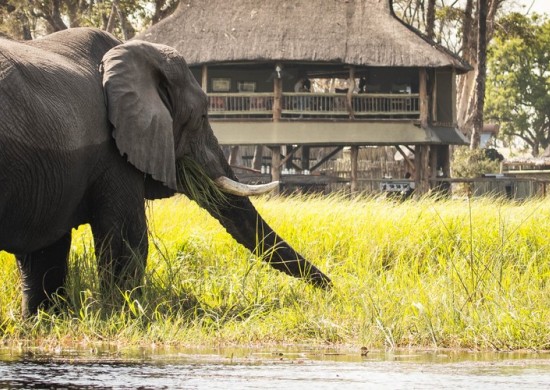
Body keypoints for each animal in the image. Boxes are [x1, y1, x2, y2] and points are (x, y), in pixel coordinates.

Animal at [0, 29, 332, 318]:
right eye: (202, 116)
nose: (333, 287)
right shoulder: (114, 153)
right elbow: (127, 241)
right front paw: (123, 313)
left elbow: (45, 251)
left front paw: (41, 322)